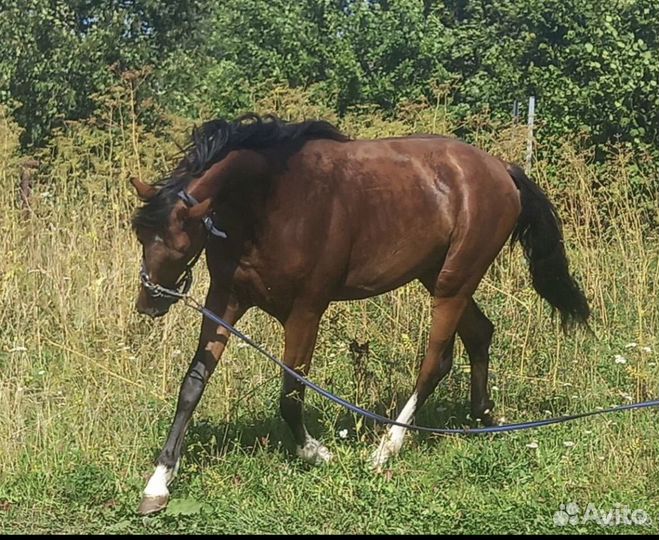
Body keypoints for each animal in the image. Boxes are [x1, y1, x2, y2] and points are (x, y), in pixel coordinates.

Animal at [129, 115, 588, 516]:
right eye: (140, 234)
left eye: (178, 242)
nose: (149, 303)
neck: (272, 200)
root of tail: (501, 171)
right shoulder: (224, 300)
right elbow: (192, 386)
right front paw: (158, 483)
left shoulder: (306, 309)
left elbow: (291, 395)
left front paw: (316, 452)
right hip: (435, 275)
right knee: (479, 334)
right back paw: (484, 416)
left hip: (455, 281)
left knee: (436, 361)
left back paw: (386, 448)